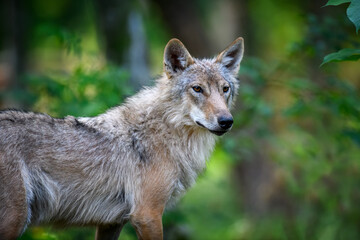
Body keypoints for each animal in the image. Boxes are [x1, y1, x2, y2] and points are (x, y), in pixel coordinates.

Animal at [0, 36, 245, 239]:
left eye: (225, 89)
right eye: (197, 89)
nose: (226, 121)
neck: (167, 134)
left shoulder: (111, 222)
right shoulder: (147, 214)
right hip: (15, 220)